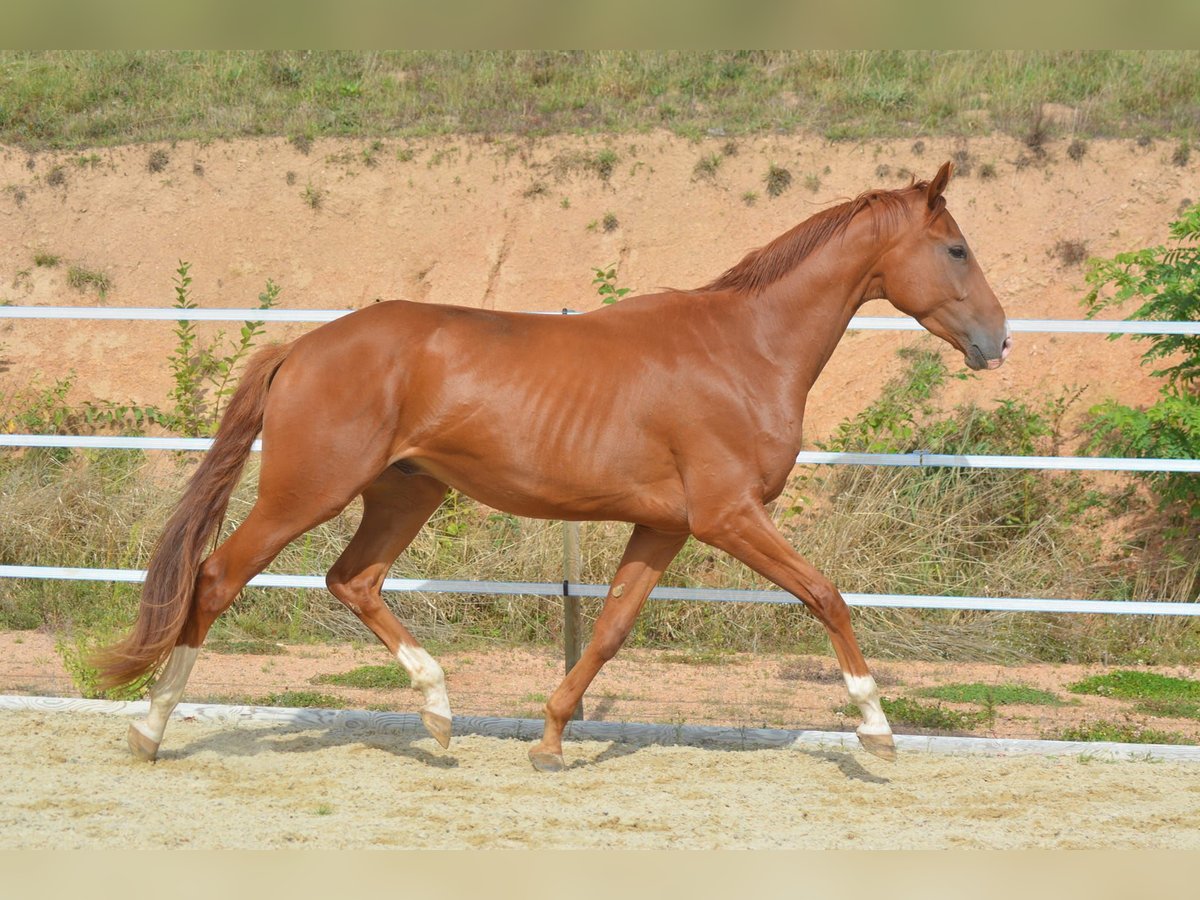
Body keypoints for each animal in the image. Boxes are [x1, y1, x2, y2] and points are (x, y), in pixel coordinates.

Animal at [96, 162, 1012, 768]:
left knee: (351, 581)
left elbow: (609, 629)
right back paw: (148, 730)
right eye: (957, 250)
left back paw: (439, 714)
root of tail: (301, 347)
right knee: (216, 579)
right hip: (306, 492)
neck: (744, 349)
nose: (998, 341)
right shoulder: (729, 516)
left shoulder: (664, 526)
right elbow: (827, 595)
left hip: (403, 494)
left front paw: (549, 739)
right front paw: (877, 731)